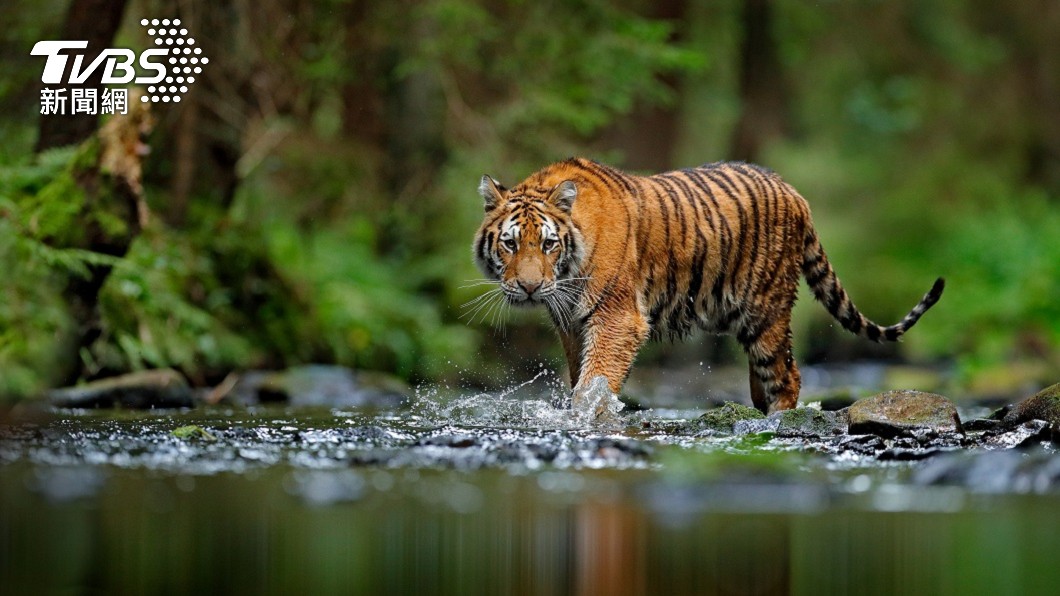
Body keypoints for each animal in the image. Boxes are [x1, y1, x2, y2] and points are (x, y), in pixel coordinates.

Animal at [472, 158, 944, 414]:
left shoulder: (617, 318)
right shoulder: (571, 324)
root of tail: (794, 192)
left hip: (766, 311)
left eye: (548, 244)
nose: (530, 288)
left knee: (787, 375)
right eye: (510, 244)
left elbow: (595, 380)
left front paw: (586, 416)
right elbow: (580, 377)